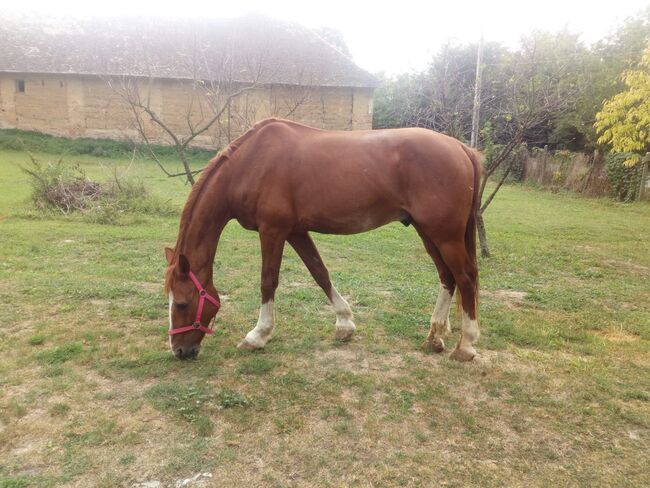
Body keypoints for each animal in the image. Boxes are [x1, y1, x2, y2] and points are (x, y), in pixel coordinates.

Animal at [165, 117, 478, 362]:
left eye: (181, 303)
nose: (179, 350)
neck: (252, 163)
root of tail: (461, 148)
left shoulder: (273, 231)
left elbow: (268, 281)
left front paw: (258, 335)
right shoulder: (295, 232)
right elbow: (320, 272)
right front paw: (345, 324)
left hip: (445, 235)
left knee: (465, 279)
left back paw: (466, 345)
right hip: (428, 232)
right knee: (447, 277)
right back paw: (435, 337)